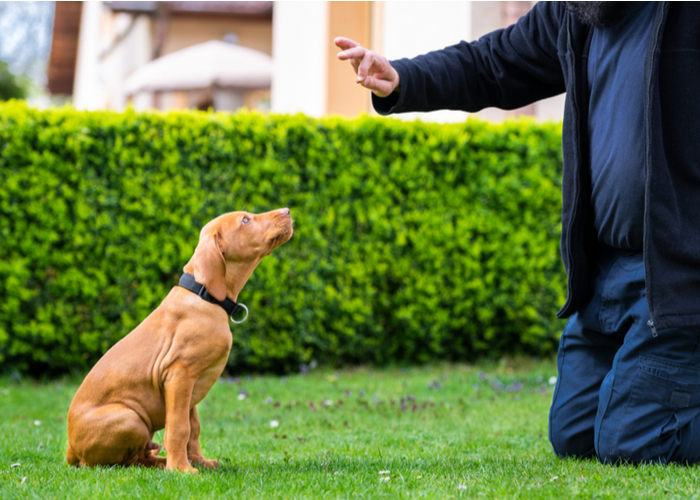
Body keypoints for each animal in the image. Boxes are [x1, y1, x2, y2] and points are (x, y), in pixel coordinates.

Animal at [65, 208, 292, 472]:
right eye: (245, 220)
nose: (287, 210)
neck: (204, 296)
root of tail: (70, 451)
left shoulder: (191, 385)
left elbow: (193, 429)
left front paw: (198, 461)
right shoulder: (179, 375)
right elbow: (178, 428)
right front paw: (182, 469)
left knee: (141, 457)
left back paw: (162, 460)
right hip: (130, 418)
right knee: (120, 463)